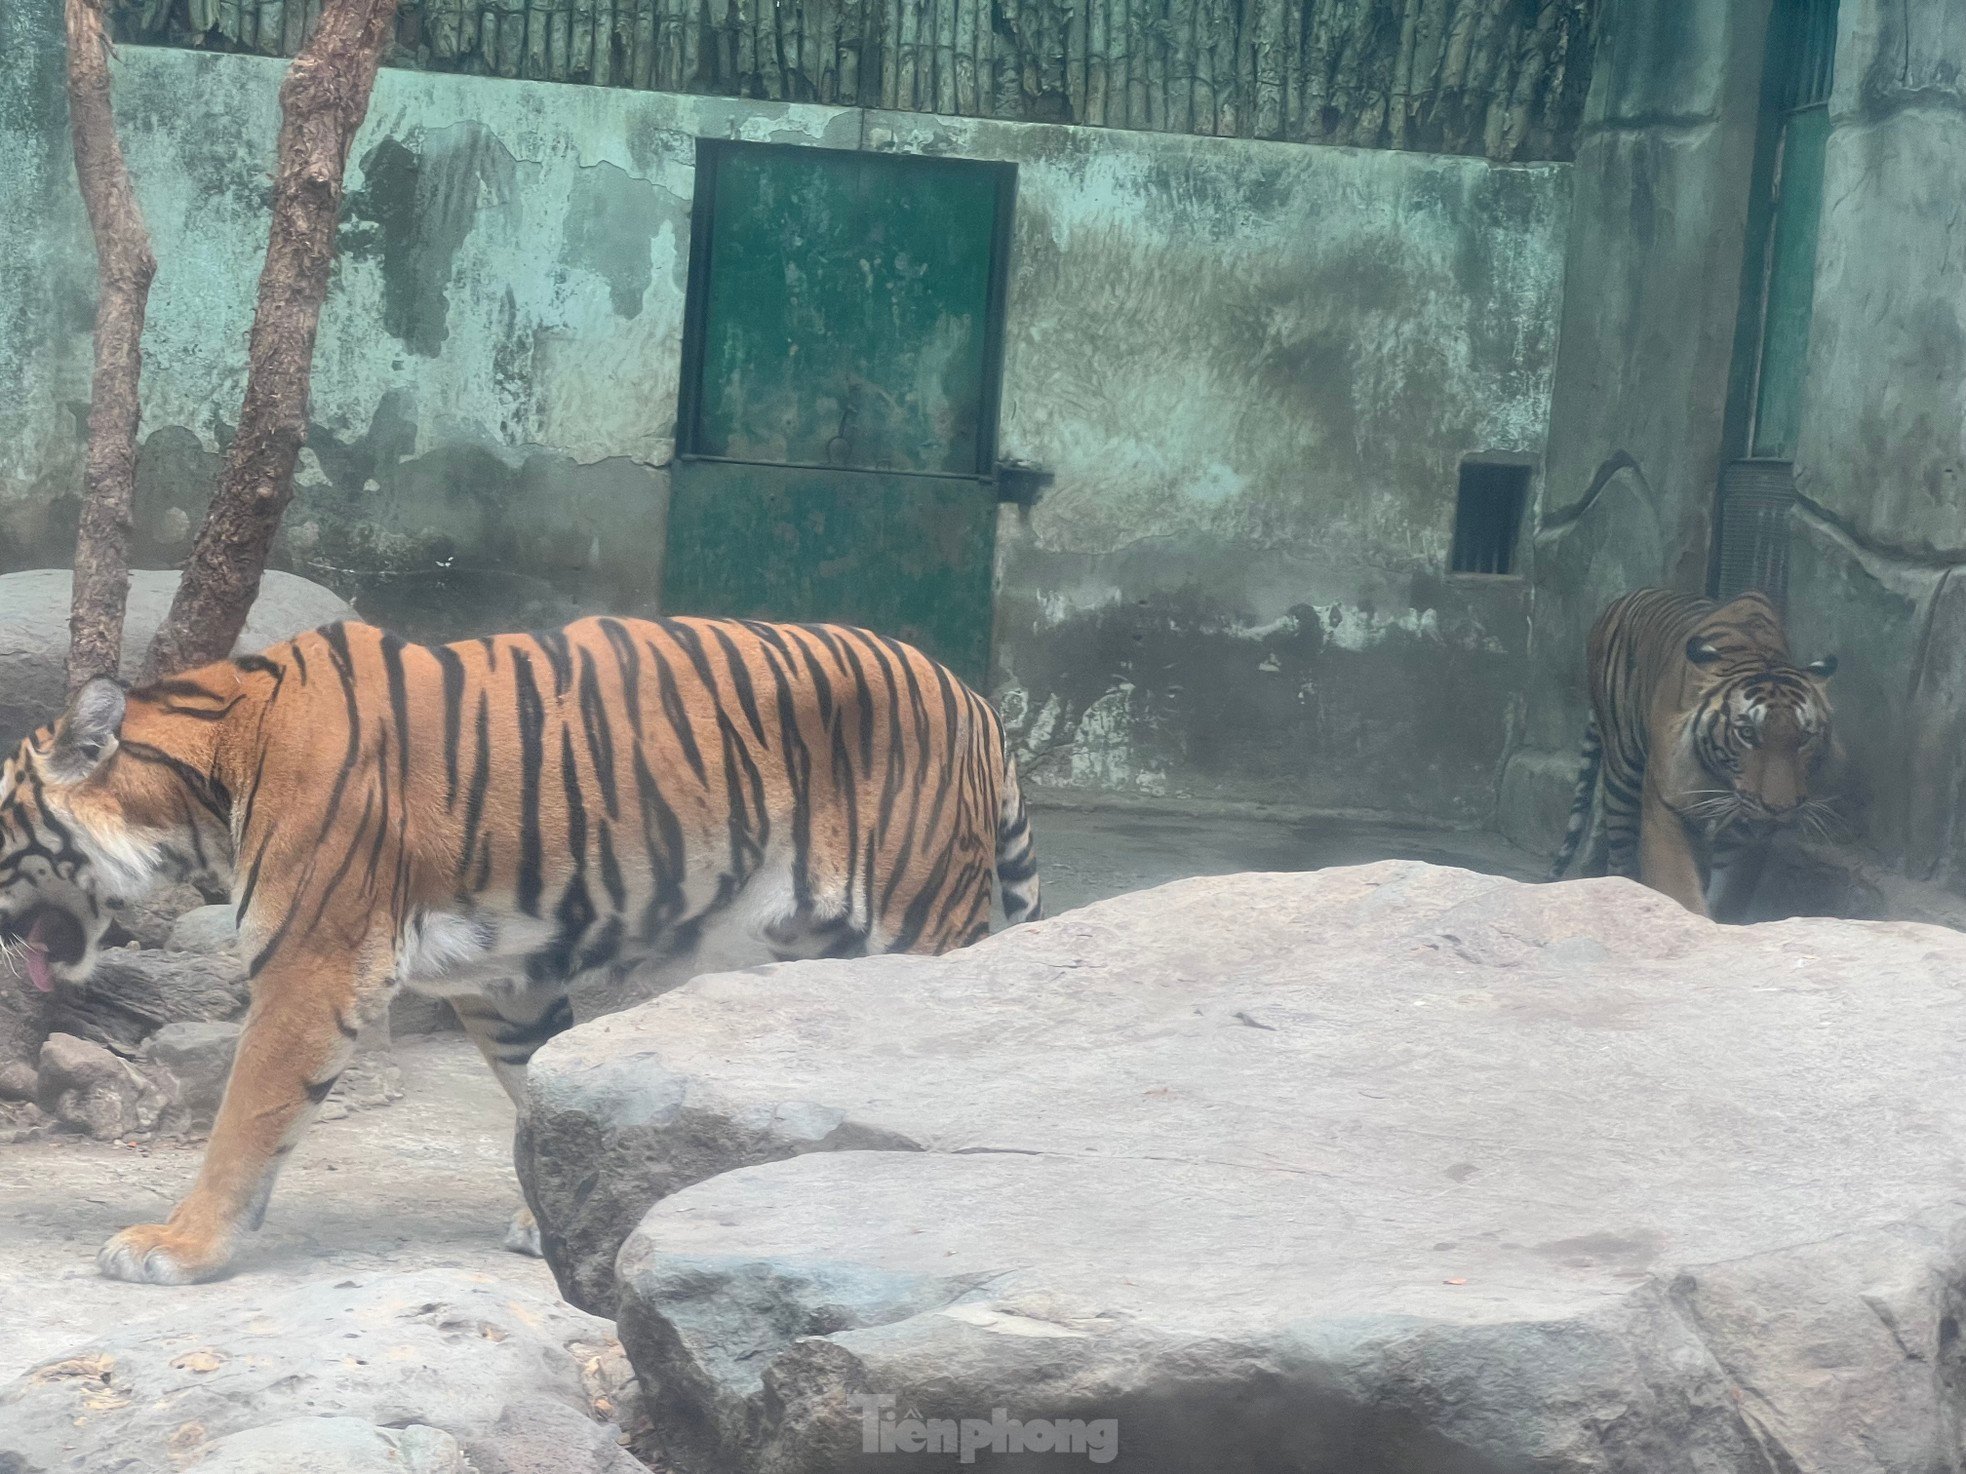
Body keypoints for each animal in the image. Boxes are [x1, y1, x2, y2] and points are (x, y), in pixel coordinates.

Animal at [0, 613, 1045, 1281]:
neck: (199, 781)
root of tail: (978, 701)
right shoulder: (500, 982)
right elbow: (534, 1086)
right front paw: (561, 1215)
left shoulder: (313, 965)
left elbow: (245, 1121)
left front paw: (179, 1247)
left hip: (919, 924)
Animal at [1549, 593, 1840, 923]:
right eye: (1748, 734)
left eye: (1804, 737)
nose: (1779, 809)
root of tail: (1621, 600)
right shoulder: (1666, 806)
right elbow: (1679, 888)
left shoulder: (1748, 834)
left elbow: (1728, 895)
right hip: (1622, 772)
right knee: (1619, 851)